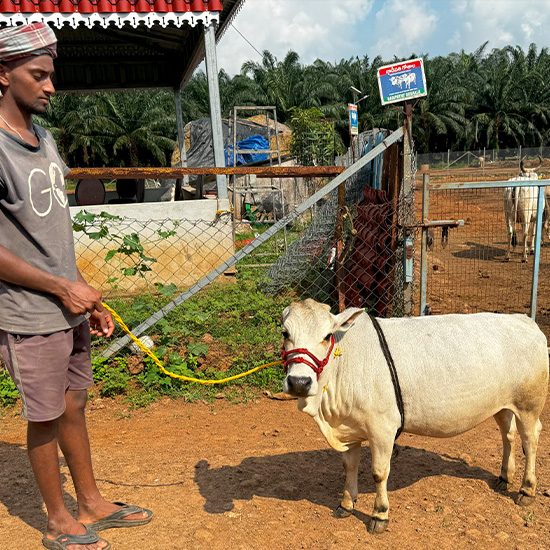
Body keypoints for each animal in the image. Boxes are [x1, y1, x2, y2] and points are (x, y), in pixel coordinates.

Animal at [282, 300, 548, 536]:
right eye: (285, 332)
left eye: (327, 336)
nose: (299, 382)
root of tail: (524, 320)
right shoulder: (349, 428)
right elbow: (349, 466)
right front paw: (346, 504)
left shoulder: (382, 428)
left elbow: (379, 472)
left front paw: (380, 515)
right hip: (502, 405)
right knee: (508, 435)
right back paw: (504, 477)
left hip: (530, 404)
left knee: (530, 440)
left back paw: (526, 490)